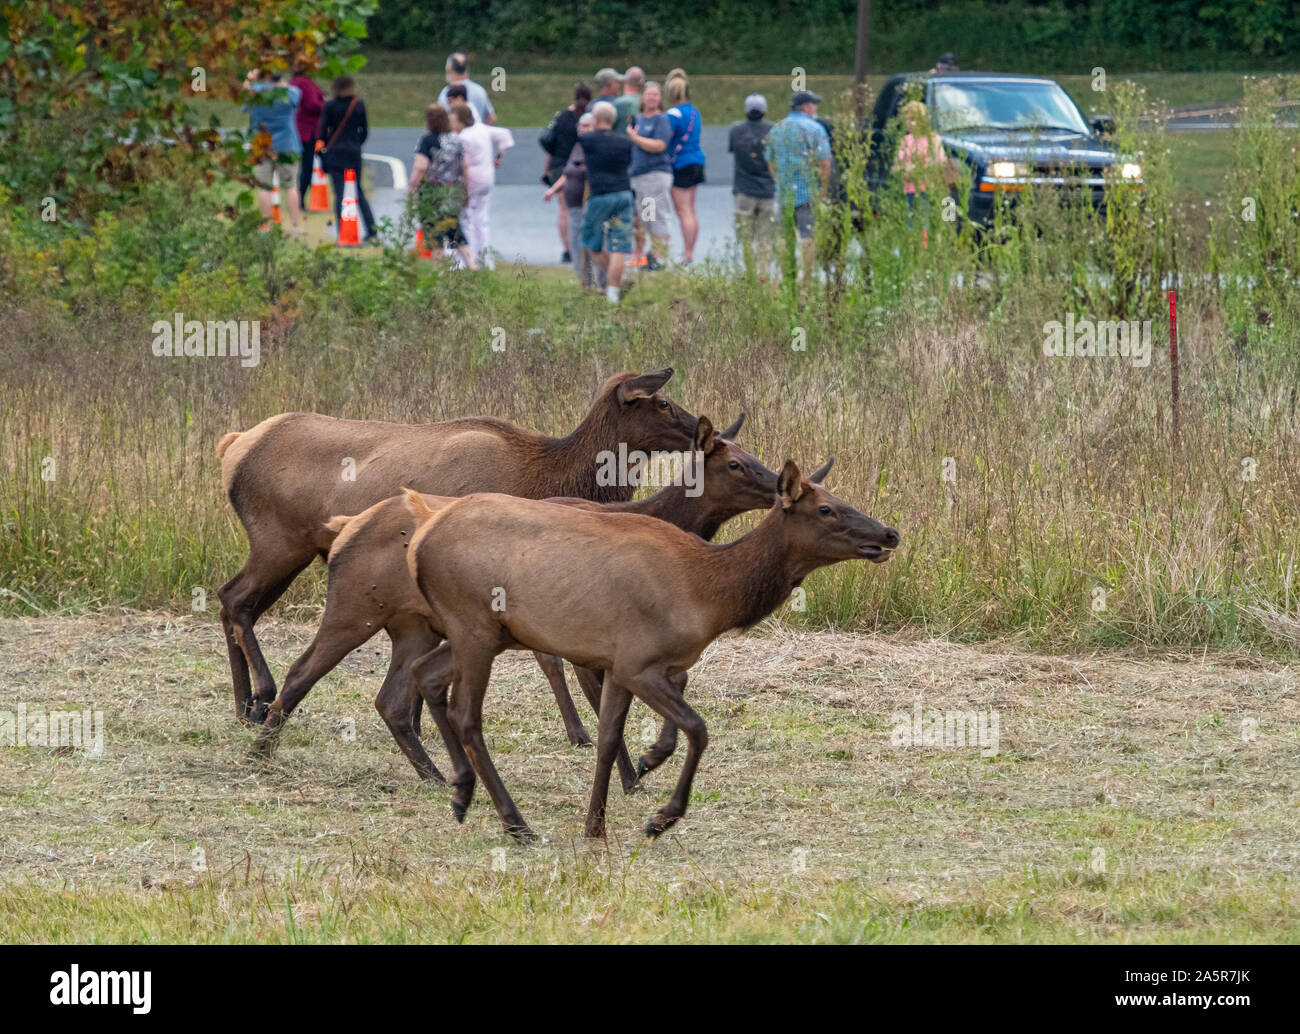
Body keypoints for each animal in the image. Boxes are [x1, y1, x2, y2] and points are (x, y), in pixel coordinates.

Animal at [217, 368, 696, 726]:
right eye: (663, 402)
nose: (700, 430)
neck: (546, 475)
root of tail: (233, 446)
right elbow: (548, 658)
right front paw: (579, 731)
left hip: (287, 551)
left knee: (230, 600)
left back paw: (244, 706)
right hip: (278, 541)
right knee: (236, 600)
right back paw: (261, 695)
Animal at [249, 415, 780, 794]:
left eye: (749, 454)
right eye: (734, 463)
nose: (778, 484)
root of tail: (345, 527)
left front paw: (639, 764)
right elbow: (602, 702)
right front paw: (631, 772)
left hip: (413, 626)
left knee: (391, 699)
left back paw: (434, 775)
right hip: (353, 608)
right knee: (301, 670)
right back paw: (259, 748)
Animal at [399, 459, 900, 842]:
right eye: (826, 509)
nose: (890, 533)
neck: (710, 595)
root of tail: (420, 540)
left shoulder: (620, 665)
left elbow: (607, 742)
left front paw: (595, 826)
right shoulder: (639, 663)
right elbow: (698, 728)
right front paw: (662, 817)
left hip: (485, 634)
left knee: (425, 673)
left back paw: (461, 791)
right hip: (474, 627)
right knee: (466, 714)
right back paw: (515, 822)